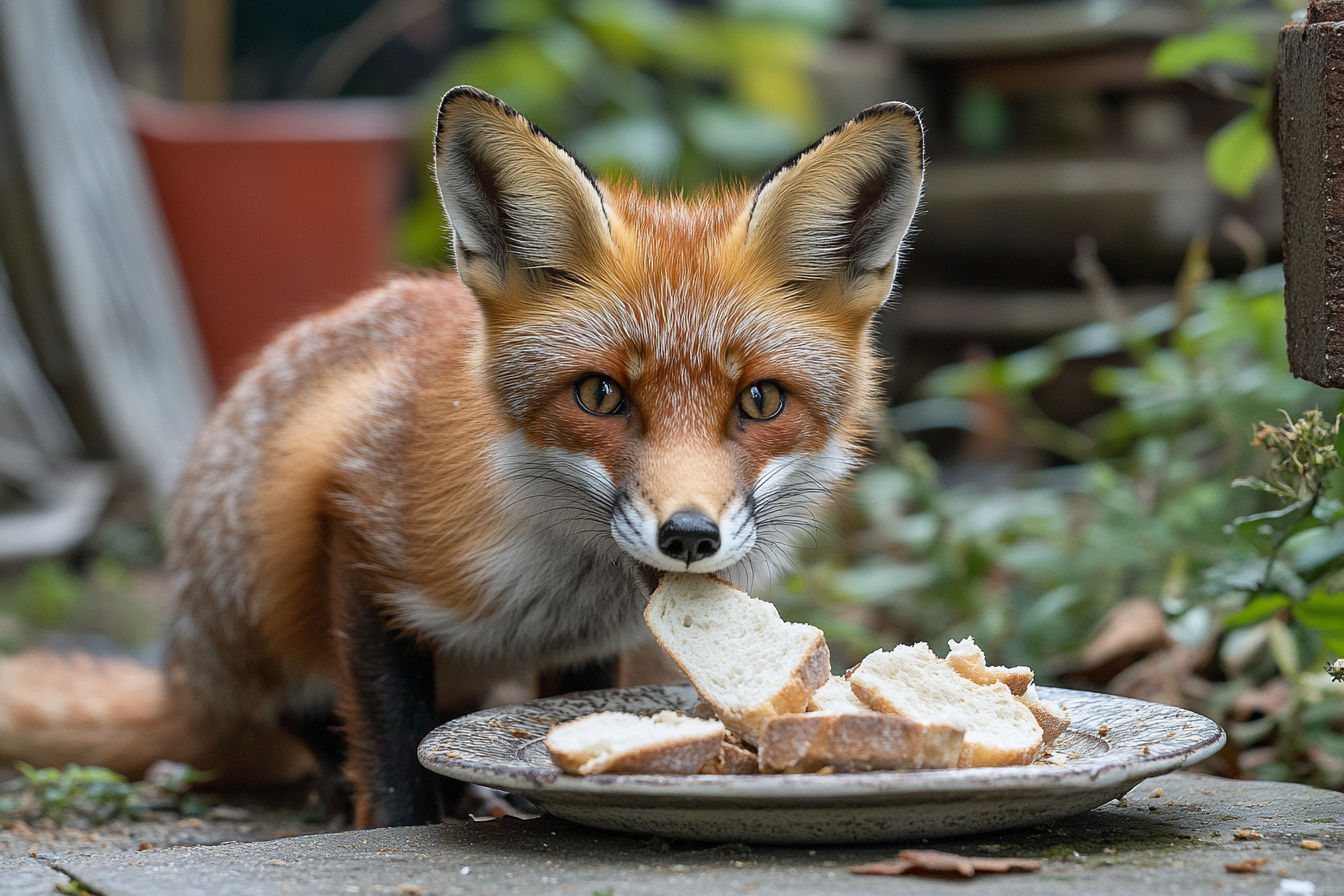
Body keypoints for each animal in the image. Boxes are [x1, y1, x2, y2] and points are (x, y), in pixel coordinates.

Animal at [0, 86, 924, 828]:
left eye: (761, 401)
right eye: (599, 396)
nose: (690, 536)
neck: (556, 586)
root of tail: (183, 674)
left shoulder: (584, 647)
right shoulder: (356, 524)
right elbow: (388, 738)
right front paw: (396, 822)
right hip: (256, 557)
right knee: (291, 719)